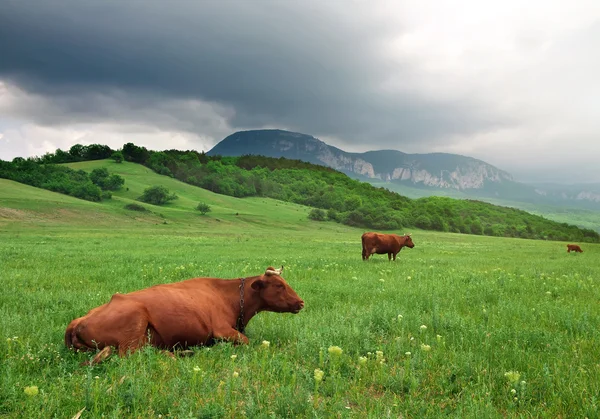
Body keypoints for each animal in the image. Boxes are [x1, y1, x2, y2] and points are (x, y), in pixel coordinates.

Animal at [64, 268, 304, 366]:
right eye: (279, 285)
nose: (301, 302)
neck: (230, 298)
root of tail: (77, 321)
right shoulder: (221, 329)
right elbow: (247, 341)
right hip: (134, 326)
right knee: (132, 356)